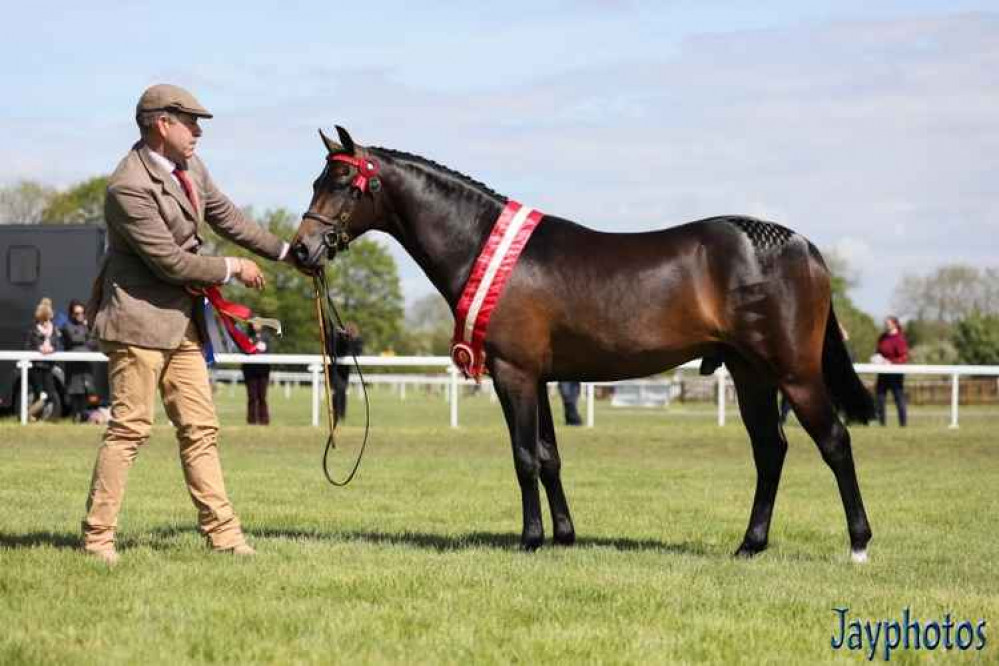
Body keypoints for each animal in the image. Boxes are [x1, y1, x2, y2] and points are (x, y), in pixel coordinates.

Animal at [290, 126, 876, 560]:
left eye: (343, 183)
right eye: (319, 178)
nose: (301, 249)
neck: (485, 247)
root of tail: (801, 245)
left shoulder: (513, 373)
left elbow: (524, 456)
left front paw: (529, 540)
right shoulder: (542, 378)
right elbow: (550, 456)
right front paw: (564, 536)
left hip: (794, 373)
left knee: (834, 442)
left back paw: (858, 544)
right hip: (750, 372)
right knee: (770, 450)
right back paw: (750, 546)